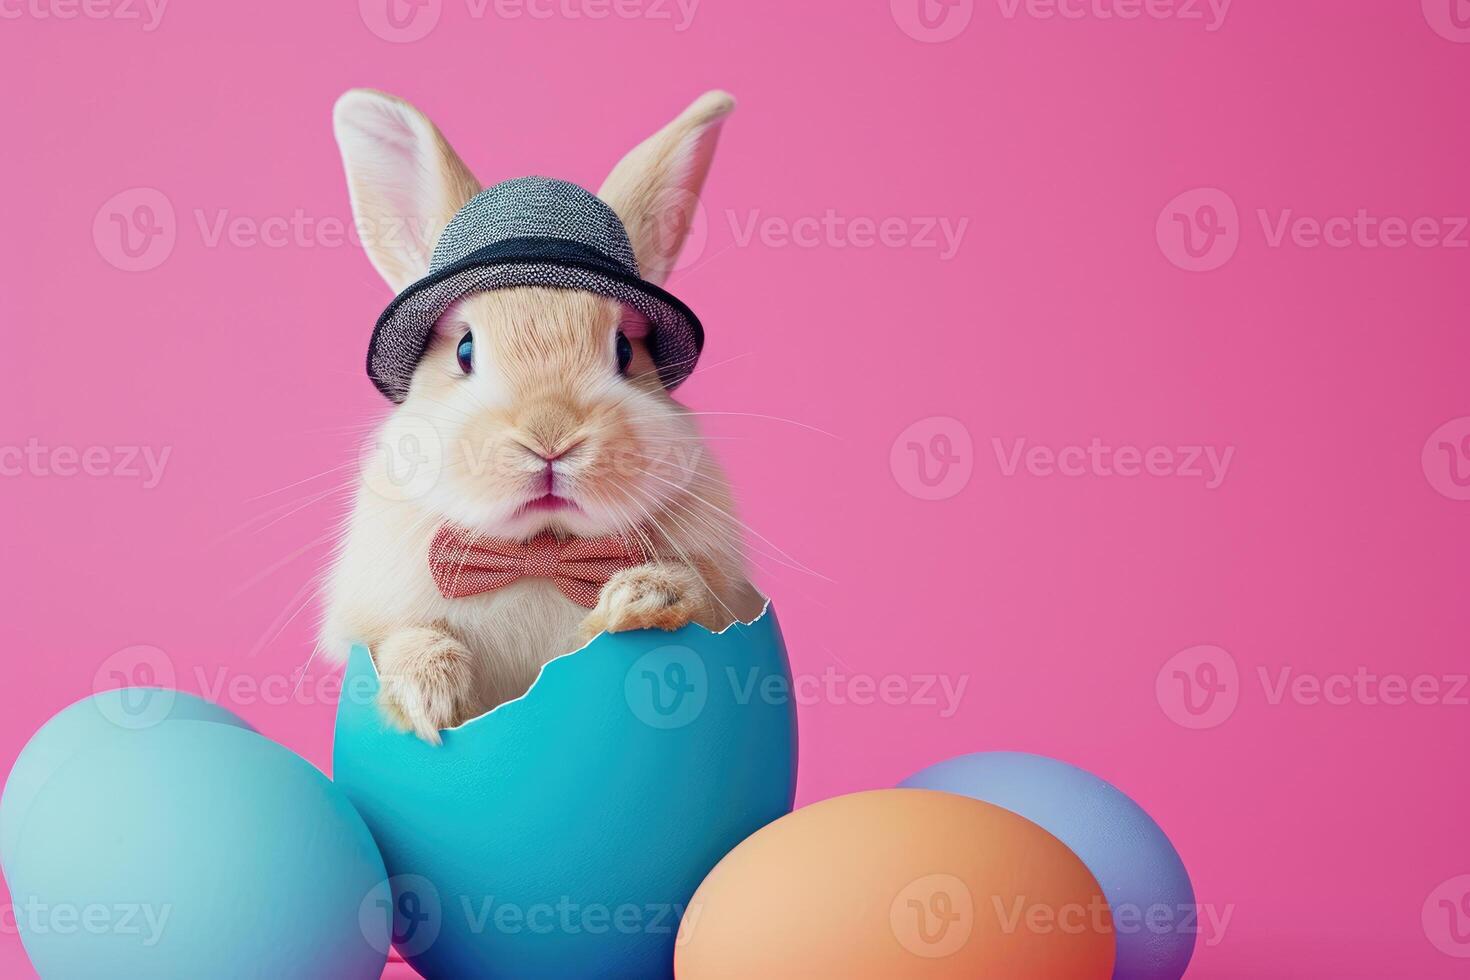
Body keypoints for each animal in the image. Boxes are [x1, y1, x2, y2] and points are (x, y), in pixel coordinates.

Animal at [316, 89, 764, 743]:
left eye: (625, 352)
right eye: (465, 350)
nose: (550, 437)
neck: (541, 550)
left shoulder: (723, 592)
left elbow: (693, 595)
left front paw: (638, 601)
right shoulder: (373, 615)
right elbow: (402, 638)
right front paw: (429, 696)